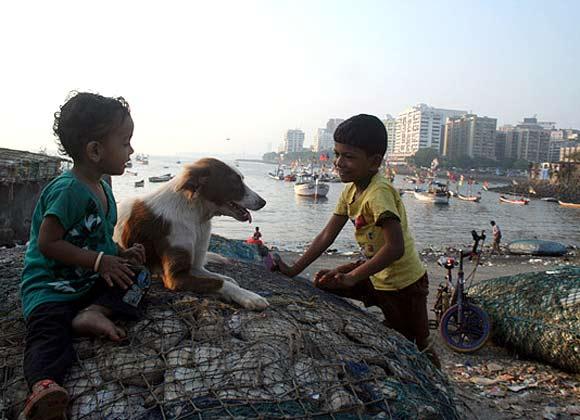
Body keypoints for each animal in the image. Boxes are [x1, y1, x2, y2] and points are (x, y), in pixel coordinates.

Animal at [114, 158, 270, 308]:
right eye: (235, 182)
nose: (263, 202)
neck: (196, 217)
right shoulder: (175, 277)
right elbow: (220, 282)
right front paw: (249, 296)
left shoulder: (195, 265)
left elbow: (217, 277)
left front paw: (231, 282)